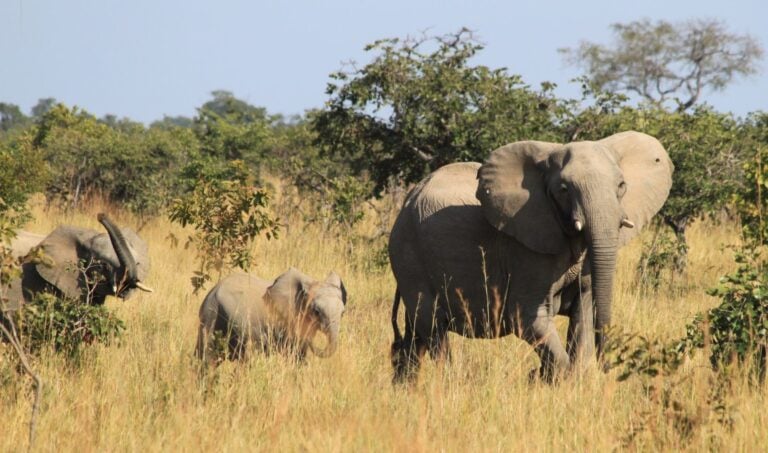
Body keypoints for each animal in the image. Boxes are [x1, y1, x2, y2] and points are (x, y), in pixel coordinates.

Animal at [390, 131, 672, 382]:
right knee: (433, 330)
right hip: (409, 257)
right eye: (564, 189)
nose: (607, 364)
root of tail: (408, 198)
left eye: (621, 185)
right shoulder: (525, 251)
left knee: (415, 338)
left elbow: (583, 313)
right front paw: (544, 377)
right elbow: (527, 318)